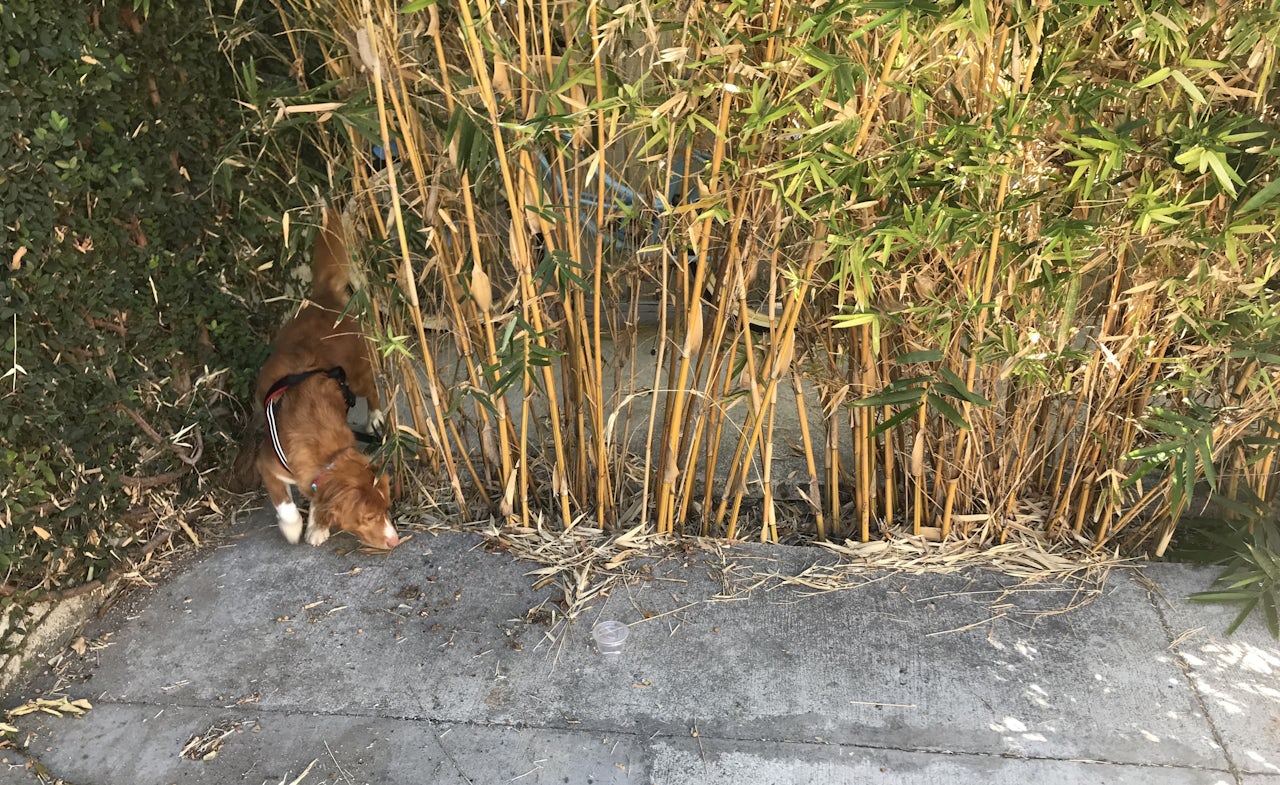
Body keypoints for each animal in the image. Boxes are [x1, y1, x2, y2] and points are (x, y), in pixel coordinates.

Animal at [256, 208, 399, 550]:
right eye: (369, 518)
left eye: (388, 508)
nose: (395, 540)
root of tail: (324, 295)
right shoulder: (267, 465)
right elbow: (286, 504)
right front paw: (295, 527)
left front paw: (317, 525)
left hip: (356, 373)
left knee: (371, 389)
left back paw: (375, 417)